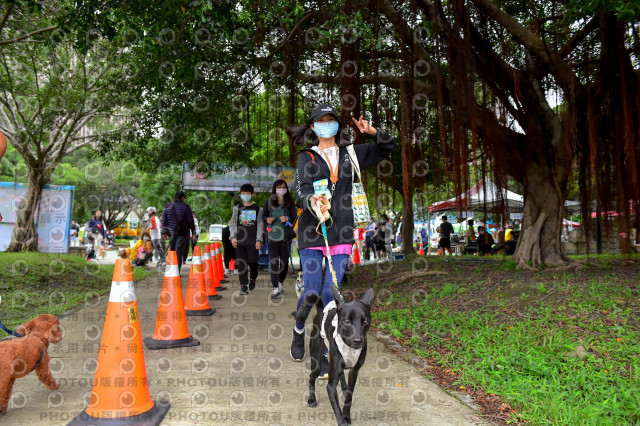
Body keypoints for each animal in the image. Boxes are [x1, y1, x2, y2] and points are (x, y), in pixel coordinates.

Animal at [298, 284, 376, 424]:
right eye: (346, 321)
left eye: (366, 322)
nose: (358, 340)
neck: (349, 348)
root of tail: (321, 311)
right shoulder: (331, 385)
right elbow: (336, 406)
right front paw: (342, 420)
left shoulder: (354, 371)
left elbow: (349, 396)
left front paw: (347, 415)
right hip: (317, 362)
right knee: (311, 377)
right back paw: (311, 398)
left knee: (342, 376)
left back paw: (343, 389)